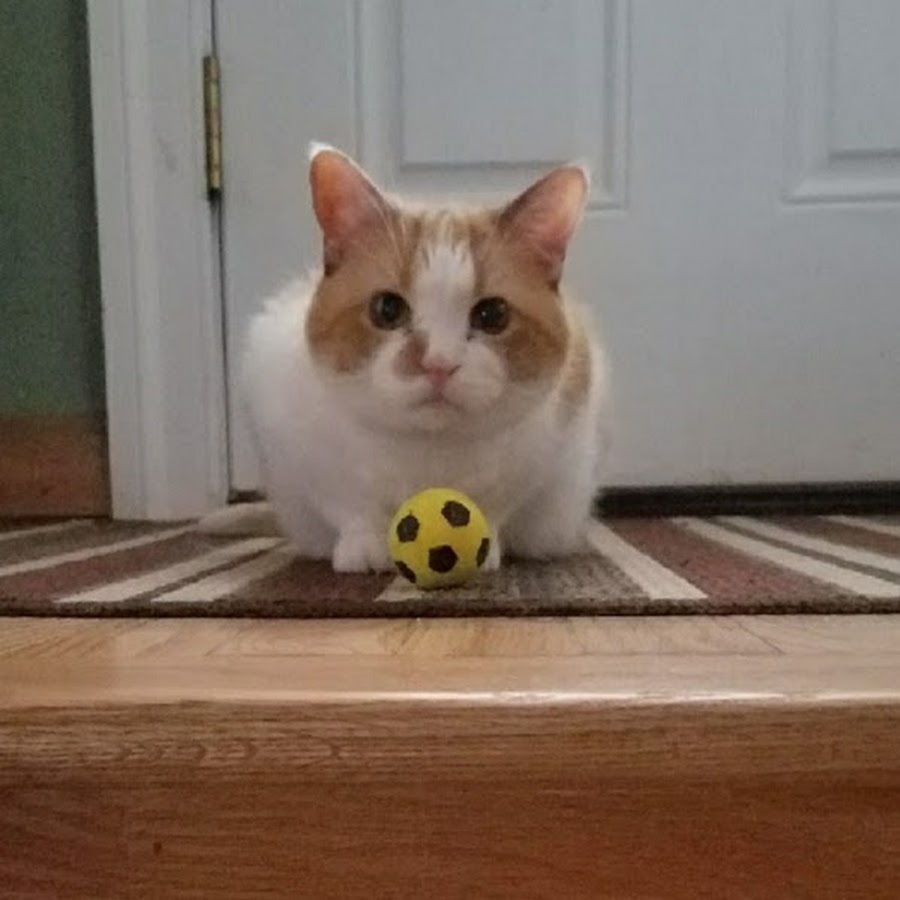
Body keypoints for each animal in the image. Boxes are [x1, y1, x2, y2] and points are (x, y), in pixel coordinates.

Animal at [203, 144, 609, 573]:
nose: (439, 364)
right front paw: (364, 545)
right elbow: (348, 503)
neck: (423, 452)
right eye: (386, 309)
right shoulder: (292, 435)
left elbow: (496, 502)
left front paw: (484, 546)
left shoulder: (552, 442)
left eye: (493, 315)